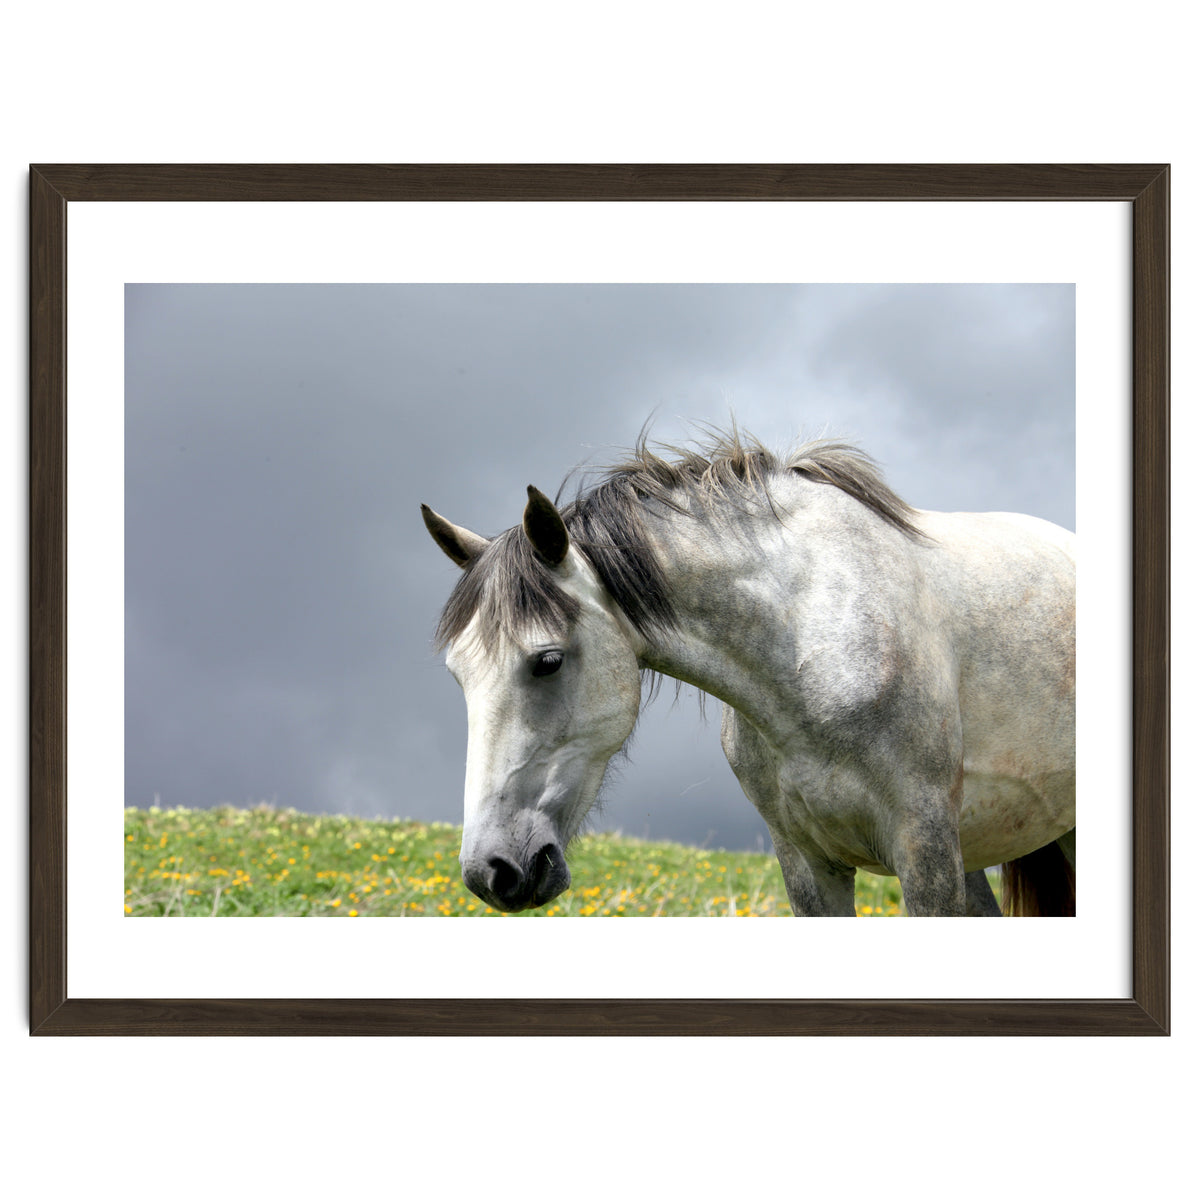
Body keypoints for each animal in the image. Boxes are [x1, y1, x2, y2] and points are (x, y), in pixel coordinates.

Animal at [421, 429, 1076, 917]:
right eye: (457, 676)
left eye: (548, 661)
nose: (492, 871)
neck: (811, 645)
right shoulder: (808, 865)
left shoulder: (925, 850)